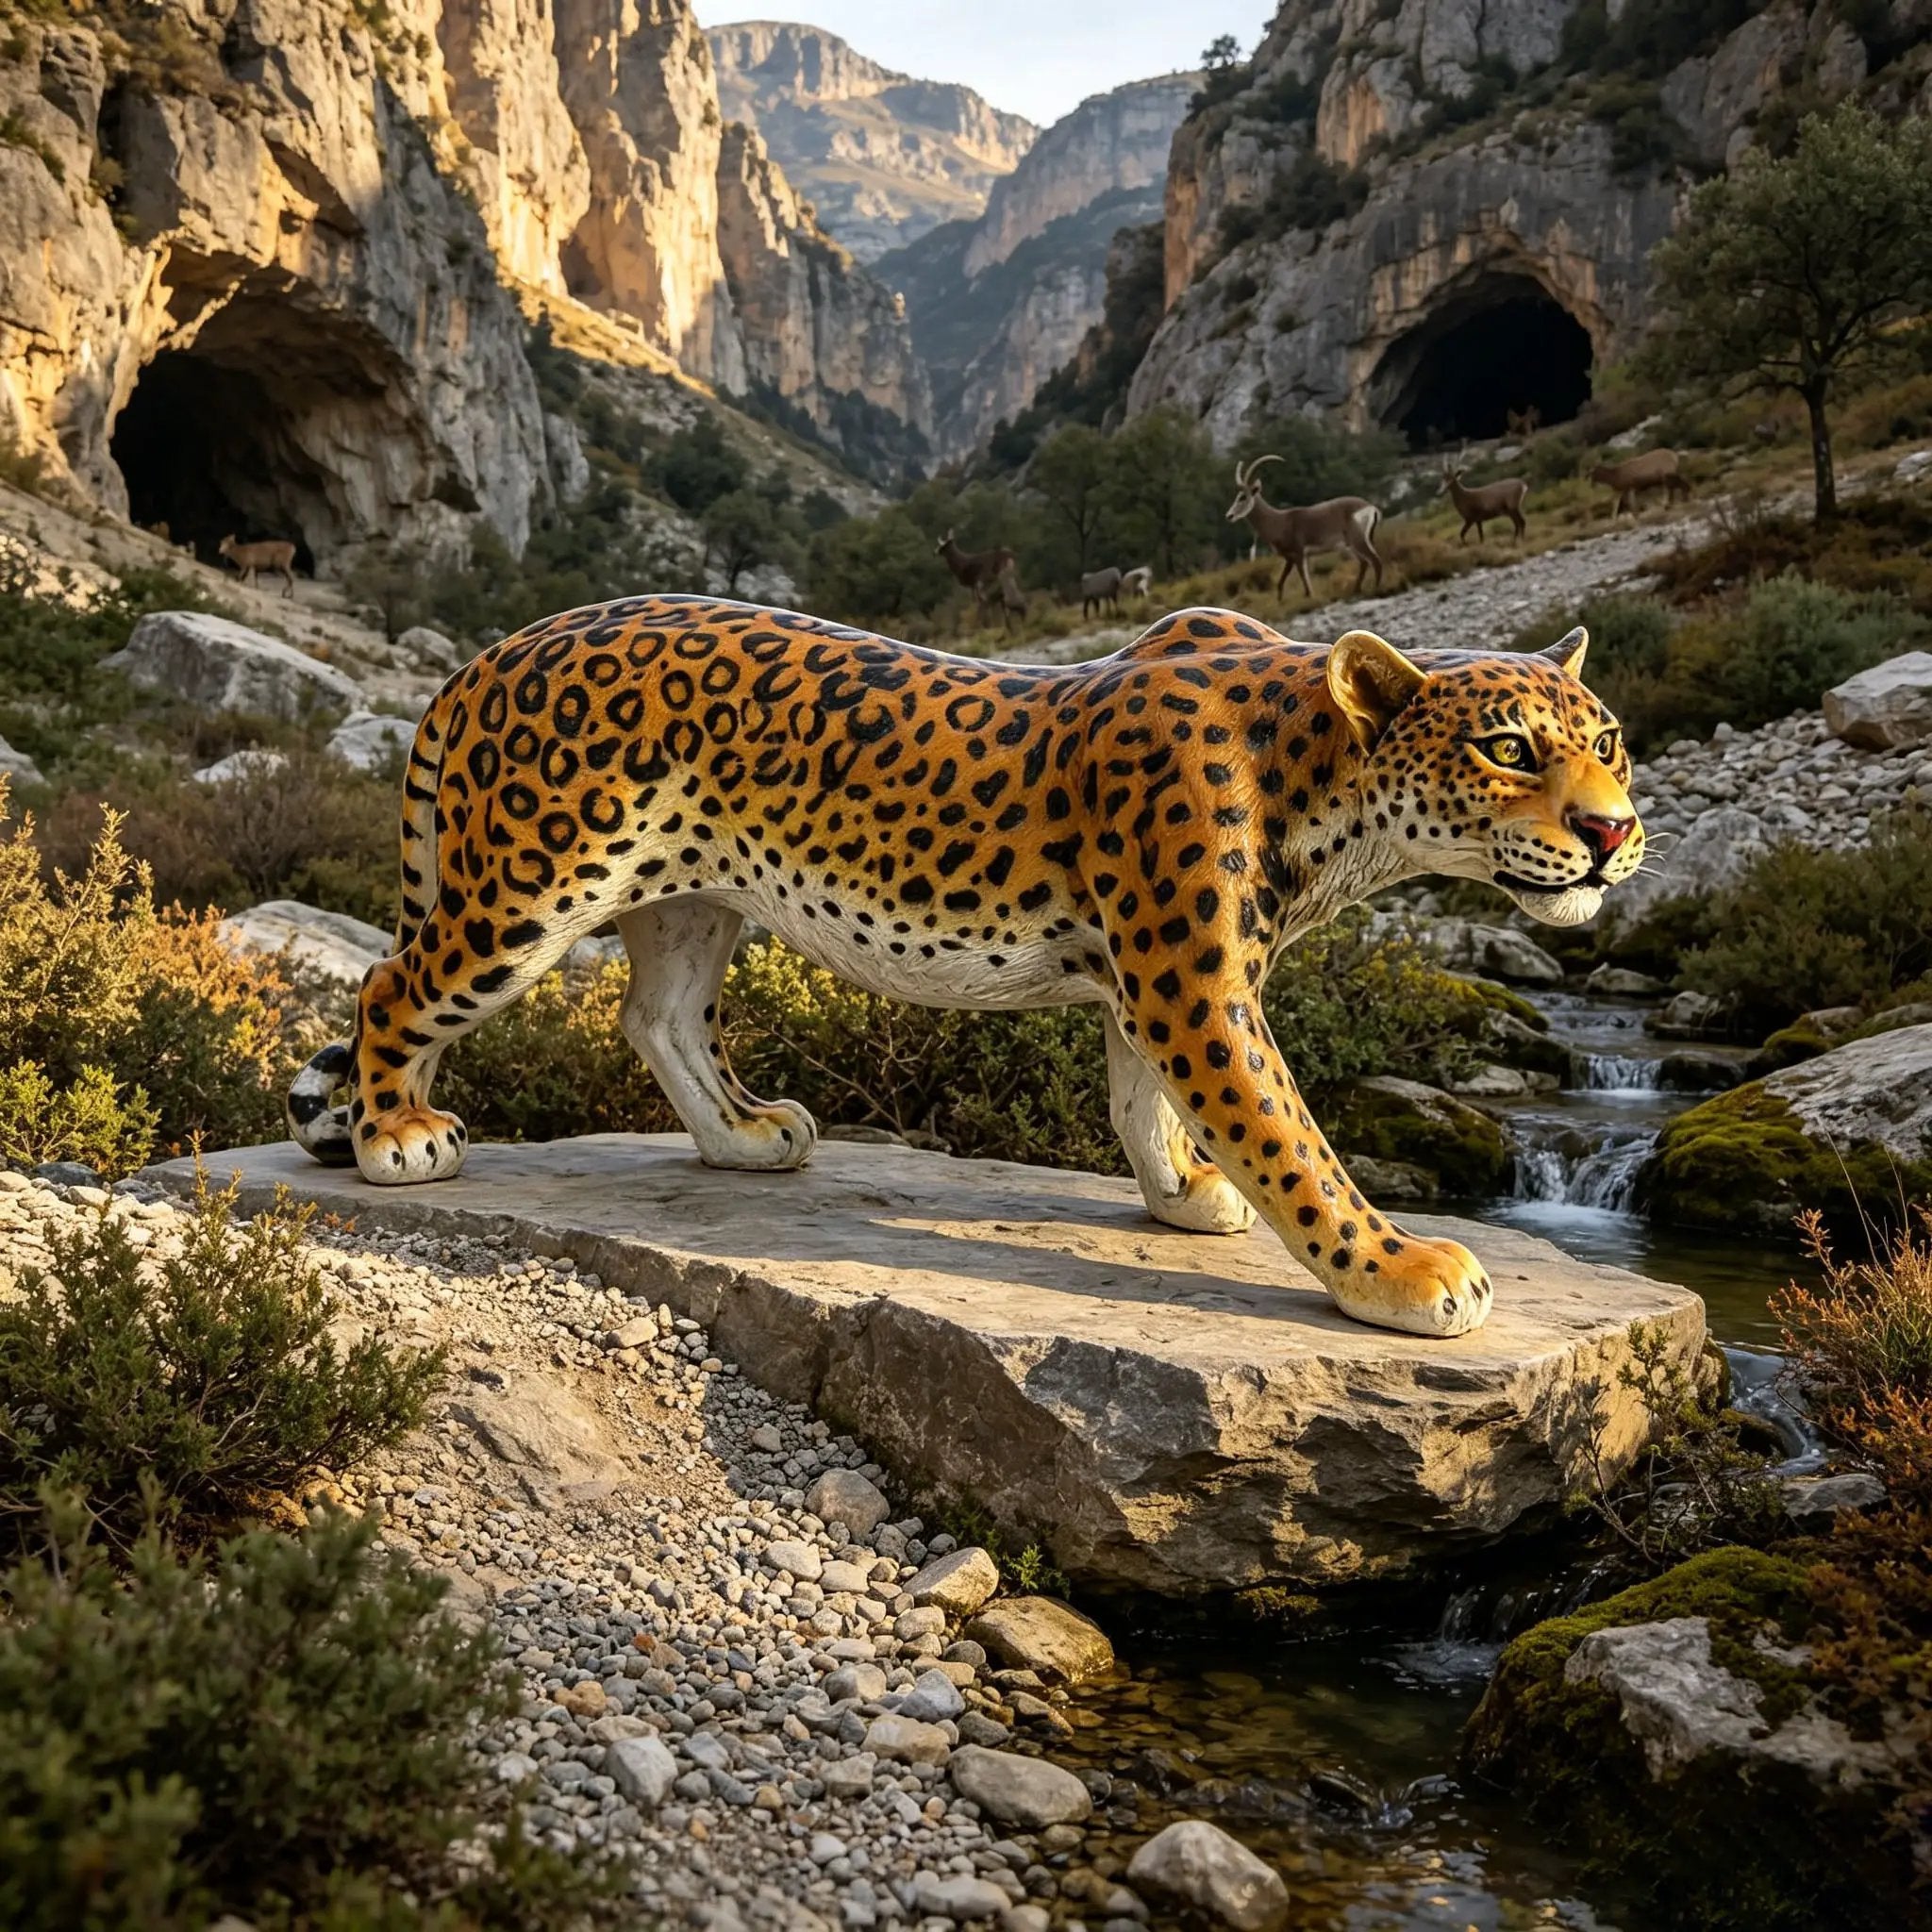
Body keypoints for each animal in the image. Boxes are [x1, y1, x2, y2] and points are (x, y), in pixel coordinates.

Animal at [287, 596, 1643, 1339]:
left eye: (1613, 741)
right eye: (1510, 747)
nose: (1613, 830)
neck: (1326, 786)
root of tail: (490, 653)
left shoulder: (1153, 975)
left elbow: (1142, 1102)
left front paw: (1183, 1193)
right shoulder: (1194, 977)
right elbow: (1289, 1136)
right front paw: (1403, 1269)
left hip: (688, 894)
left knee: (657, 1016)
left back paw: (745, 1136)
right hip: (527, 889)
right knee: (392, 986)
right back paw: (396, 1135)